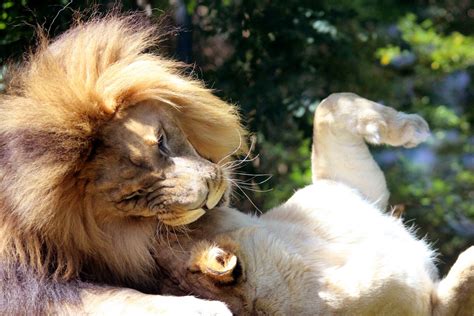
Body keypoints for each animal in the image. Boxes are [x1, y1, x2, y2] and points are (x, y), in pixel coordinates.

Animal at [0, 14, 472, 314]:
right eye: (134, 197)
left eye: (162, 144)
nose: (205, 197)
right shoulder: (428, 304)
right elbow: (462, 276)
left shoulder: (353, 190)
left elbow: (331, 103)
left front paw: (410, 128)